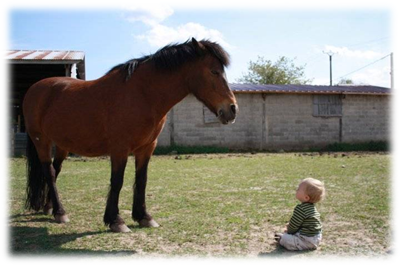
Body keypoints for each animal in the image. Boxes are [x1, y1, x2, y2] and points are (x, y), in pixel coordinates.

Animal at [22, 38, 238, 232]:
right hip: (41, 141)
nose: (232, 109)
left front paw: (144, 217)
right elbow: (117, 181)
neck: (143, 94)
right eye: (214, 71)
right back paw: (60, 212)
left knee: (55, 170)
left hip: (62, 144)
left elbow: (141, 180)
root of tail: (35, 89)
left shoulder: (147, 147)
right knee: (49, 172)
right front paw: (115, 220)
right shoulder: (120, 148)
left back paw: (50, 208)